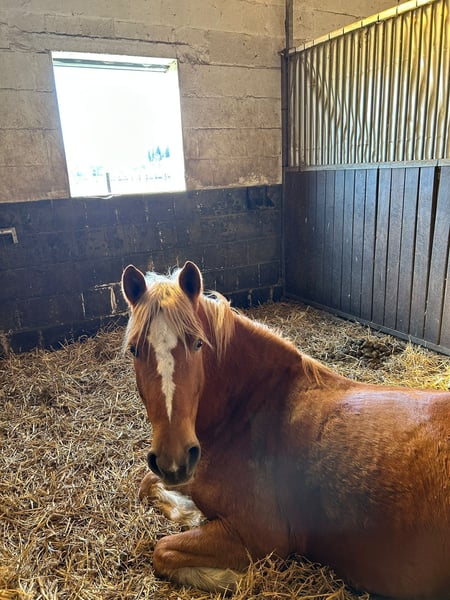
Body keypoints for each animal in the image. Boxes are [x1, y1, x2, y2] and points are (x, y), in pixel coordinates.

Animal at [121, 260, 450, 599]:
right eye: (133, 349)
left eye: (198, 343)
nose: (173, 461)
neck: (250, 408)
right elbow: (147, 483)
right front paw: (191, 512)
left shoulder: (258, 536)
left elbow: (162, 550)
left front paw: (228, 577)